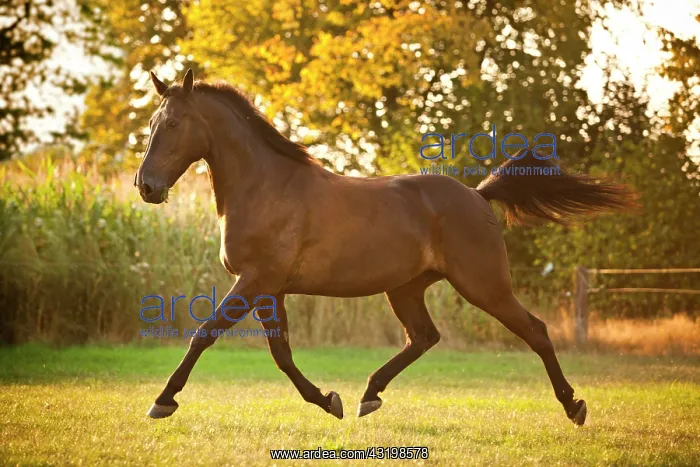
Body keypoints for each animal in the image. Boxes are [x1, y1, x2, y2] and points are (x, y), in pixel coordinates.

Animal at [135, 69, 636, 425]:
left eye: (174, 122)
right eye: (151, 122)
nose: (146, 186)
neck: (265, 187)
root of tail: (478, 195)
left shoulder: (256, 280)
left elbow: (205, 333)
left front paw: (162, 401)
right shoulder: (269, 289)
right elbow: (282, 354)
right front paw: (328, 400)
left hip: (485, 286)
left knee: (536, 330)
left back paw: (573, 406)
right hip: (407, 288)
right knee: (425, 337)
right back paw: (368, 395)